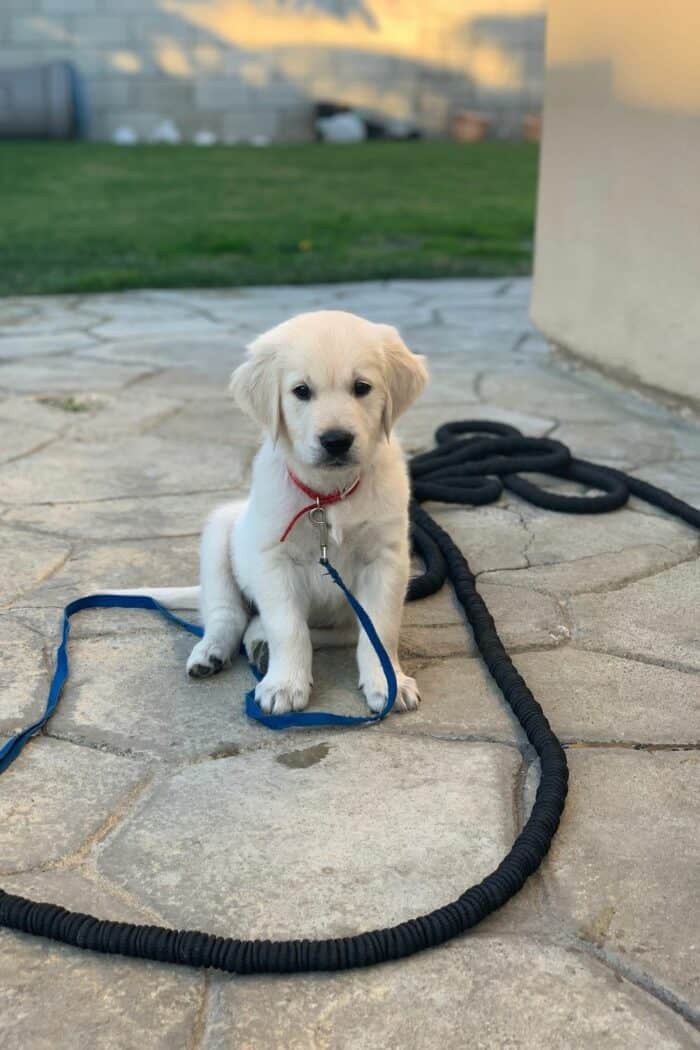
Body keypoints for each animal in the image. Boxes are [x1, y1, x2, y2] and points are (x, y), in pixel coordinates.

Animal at [130, 308, 428, 713]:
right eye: (301, 391)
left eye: (362, 387)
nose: (336, 440)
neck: (327, 498)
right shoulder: (273, 560)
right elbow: (288, 628)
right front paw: (285, 686)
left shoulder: (385, 559)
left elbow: (379, 629)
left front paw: (388, 681)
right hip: (219, 535)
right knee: (228, 615)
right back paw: (211, 652)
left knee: (276, 626)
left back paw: (257, 646)